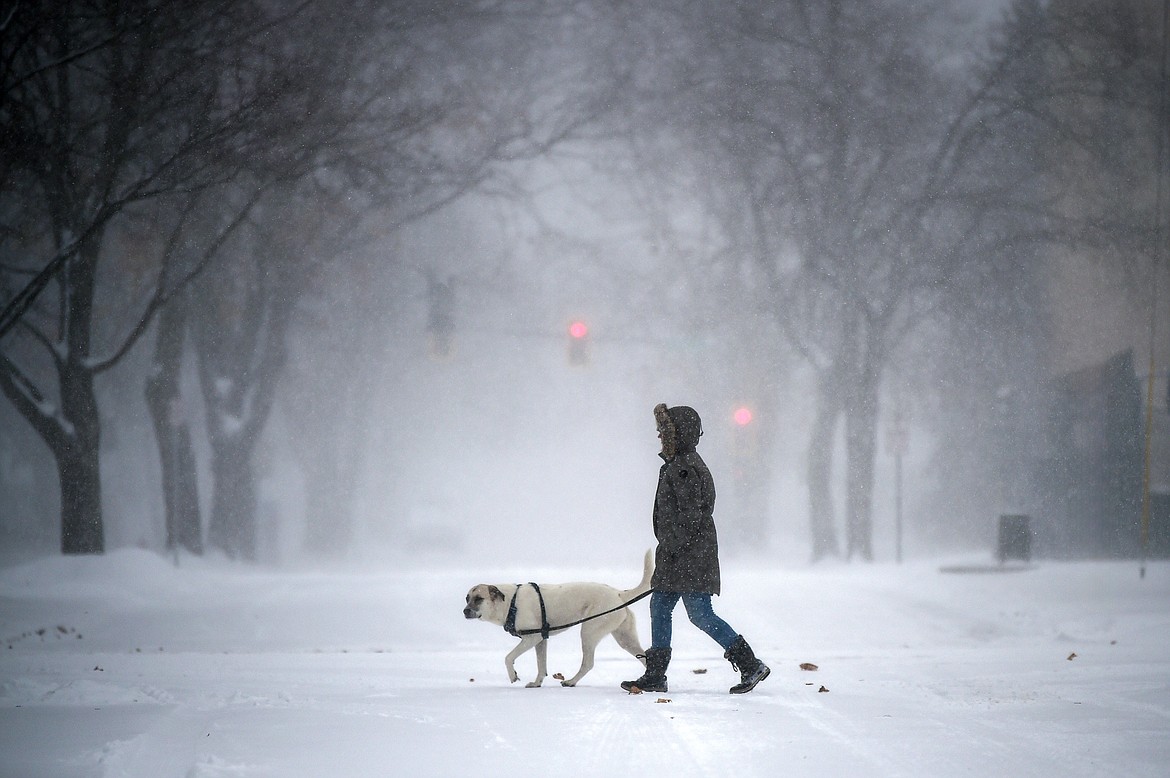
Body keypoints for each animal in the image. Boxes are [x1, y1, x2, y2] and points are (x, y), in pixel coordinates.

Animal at [460, 545, 655, 687]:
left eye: (479, 599)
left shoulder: (532, 638)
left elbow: (508, 657)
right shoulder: (540, 641)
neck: (509, 602)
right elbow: (541, 666)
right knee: (644, 657)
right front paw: (536, 683)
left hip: (589, 632)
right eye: (467, 598)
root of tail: (618, 593)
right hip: (625, 638)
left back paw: (571, 681)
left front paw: (513, 675)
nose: (465, 611)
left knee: (588, 663)